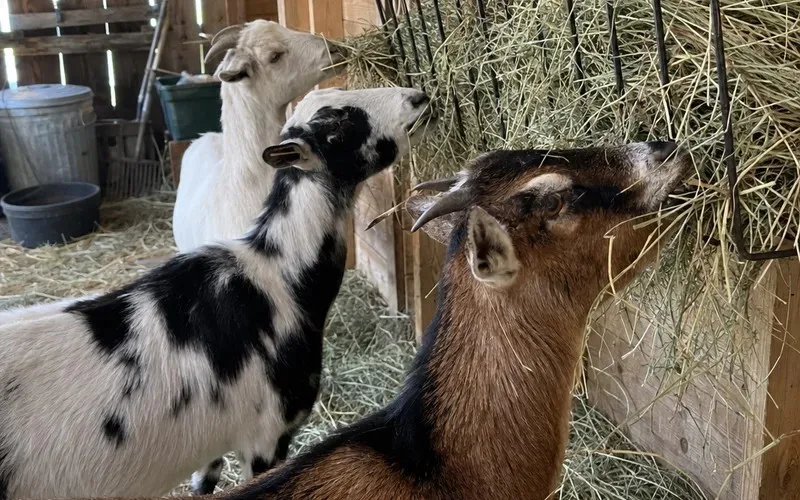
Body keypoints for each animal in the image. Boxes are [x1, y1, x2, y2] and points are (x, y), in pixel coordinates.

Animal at [0, 86, 433, 500]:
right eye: (337, 127)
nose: (418, 98)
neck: (277, 275)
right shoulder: (266, 436)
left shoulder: (207, 446)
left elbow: (203, 485)